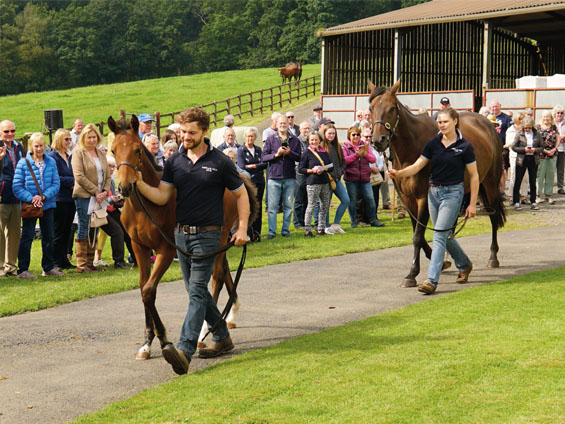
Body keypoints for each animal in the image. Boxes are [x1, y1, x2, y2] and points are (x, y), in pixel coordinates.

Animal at [107, 114, 258, 360]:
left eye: (137, 150)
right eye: (112, 150)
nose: (125, 187)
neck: (145, 207)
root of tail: (235, 175)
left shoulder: (166, 250)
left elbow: (149, 291)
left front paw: (163, 339)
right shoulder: (139, 248)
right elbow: (143, 287)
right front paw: (146, 343)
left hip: (219, 235)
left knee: (216, 275)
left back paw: (204, 334)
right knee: (224, 270)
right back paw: (230, 315)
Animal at [368, 80, 504, 286]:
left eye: (391, 108)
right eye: (371, 108)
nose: (378, 141)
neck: (412, 147)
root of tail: (489, 125)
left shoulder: (424, 197)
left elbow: (418, 236)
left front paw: (412, 274)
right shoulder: (408, 199)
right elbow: (417, 233)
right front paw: (437, 260)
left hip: (490, 185)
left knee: (493, 217)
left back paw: (493, 257)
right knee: (451, 226)